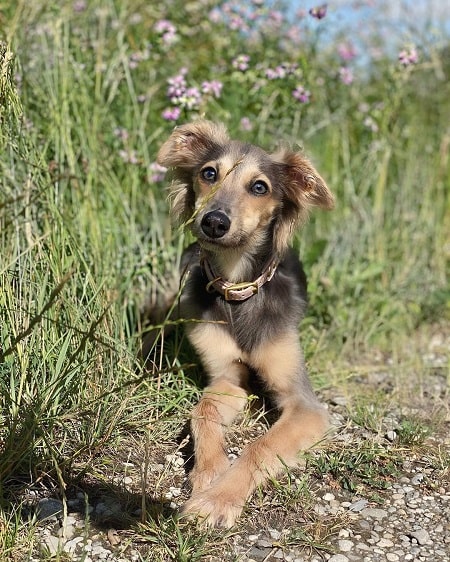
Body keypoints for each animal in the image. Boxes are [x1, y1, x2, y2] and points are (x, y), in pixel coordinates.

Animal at [157, 118, 334, 524]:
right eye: (209, 173)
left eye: (259, 187)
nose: (214, 222)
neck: (238, 288)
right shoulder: (227, 378)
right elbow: (203, 411)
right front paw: (209, 472)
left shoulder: (304, 404)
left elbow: (261, 446)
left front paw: (217, 500)